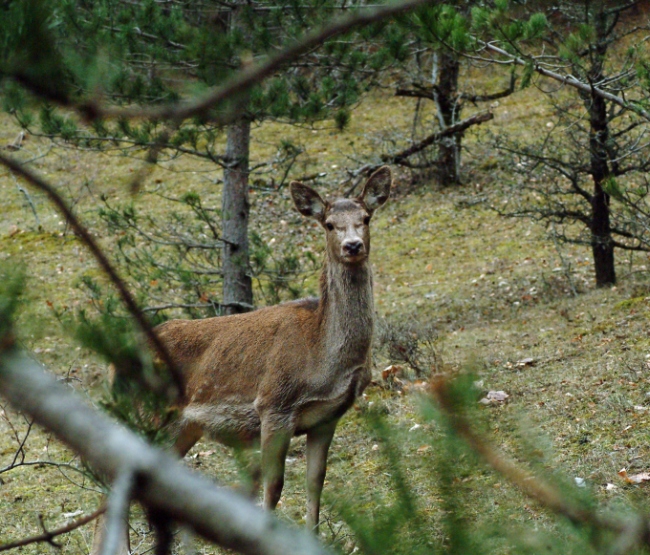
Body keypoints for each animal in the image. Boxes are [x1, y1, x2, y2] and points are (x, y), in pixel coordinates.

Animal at [152, 167, 390, 532]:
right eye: (328, 224)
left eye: (366, 217)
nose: (353, 246)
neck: (322, 357)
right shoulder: (274, 404)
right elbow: (273, 487)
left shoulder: (327, 418)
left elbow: (315, 483)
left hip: (183, 428)